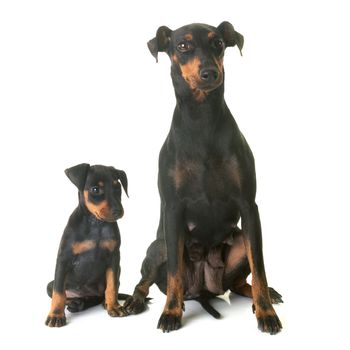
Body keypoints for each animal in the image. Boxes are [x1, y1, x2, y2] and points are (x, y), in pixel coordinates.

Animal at [45, 163, 129, 326]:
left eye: (117, 187)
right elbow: (58, 292)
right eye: (95, 190)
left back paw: (98, 303)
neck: (96, 224)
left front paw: (114, 306)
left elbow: (112, 286)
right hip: (50, 285)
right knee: (64, 294)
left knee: (101, 295)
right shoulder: (63, 258)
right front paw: (56, 315)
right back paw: (75, 303)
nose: (118, 211)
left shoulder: (114, 258)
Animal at [124, 21, 284, 334]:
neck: (202, 119)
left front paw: (266, 313)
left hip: (239, 240)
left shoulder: (249, 207)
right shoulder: (173, 209)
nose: (210, 72)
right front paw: (171, 313)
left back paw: (262, 296)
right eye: (183, 45)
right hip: (159, 245)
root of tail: (204, 290)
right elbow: (174, 271)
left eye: (218, 43)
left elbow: (259, 267)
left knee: (239, 282)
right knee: (148, 280)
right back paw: (137, 301)